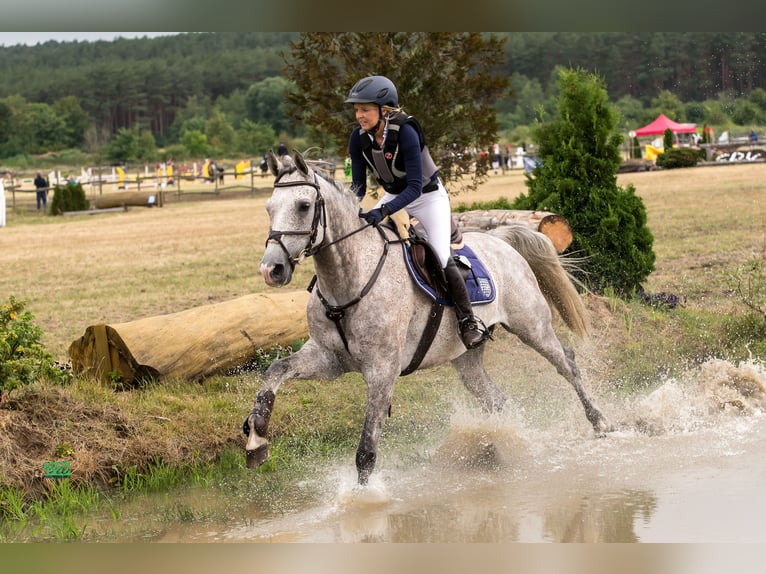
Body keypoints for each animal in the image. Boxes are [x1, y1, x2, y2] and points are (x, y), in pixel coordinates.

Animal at [246, 150, 612, 486]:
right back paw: (505, 440)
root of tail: (499, 239)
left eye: (303, 206)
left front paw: (363, 501)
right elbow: (274, 371)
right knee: (495, 398)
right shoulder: (327, 358)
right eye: (268, 208)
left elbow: (366, 451)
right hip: (467, 356)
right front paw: (256, 439)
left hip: (532, 326)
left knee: (567, 364)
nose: (271, 270)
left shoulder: (382, 371)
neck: (347, 280)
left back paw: (600, 422)